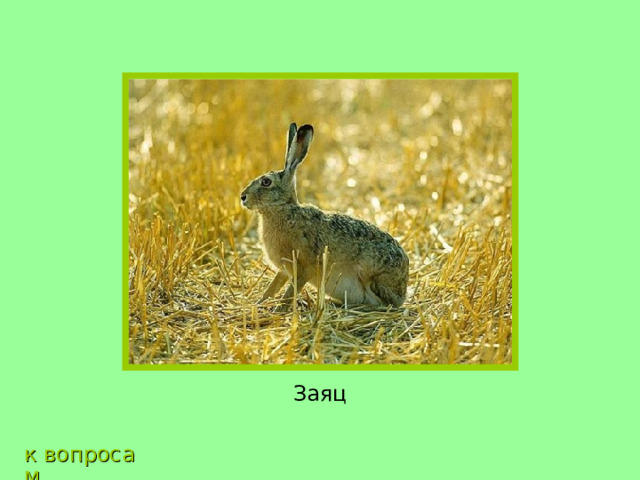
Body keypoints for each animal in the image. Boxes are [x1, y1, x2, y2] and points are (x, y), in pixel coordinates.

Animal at [240, 123, 409, 311]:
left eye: (266, 182)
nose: (243, 197)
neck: (284, 209)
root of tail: (402, 292)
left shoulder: (304, 268)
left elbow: (290, 292)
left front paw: (278, 310)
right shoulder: (284, 269)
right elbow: (273, 287)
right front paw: (258, 304)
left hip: (370, 273)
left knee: (382, 303)